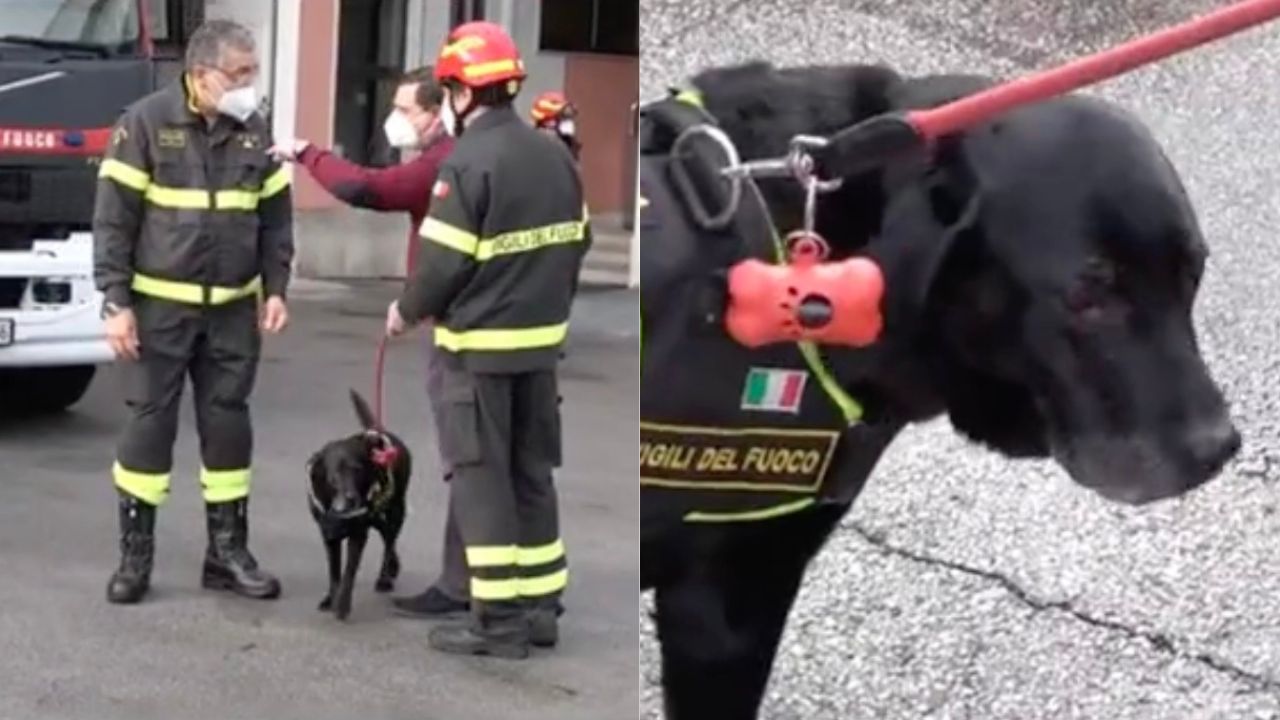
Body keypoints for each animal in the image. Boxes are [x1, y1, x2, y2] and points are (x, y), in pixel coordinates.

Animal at [305, 389, 409, 620]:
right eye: (334, 476)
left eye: (358, 470)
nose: (352, 498)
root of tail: (378, 433)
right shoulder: (329, 534)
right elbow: (334, 571)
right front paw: (330, 599)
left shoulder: (358, 535)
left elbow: (348, 572)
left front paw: (342, 605)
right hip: (376, 515)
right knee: (386, 534)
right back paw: (394, 567)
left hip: (396, 509)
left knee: (390, 541)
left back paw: (384, 578)